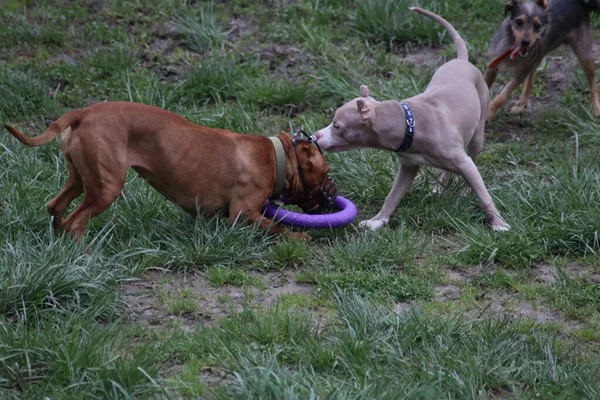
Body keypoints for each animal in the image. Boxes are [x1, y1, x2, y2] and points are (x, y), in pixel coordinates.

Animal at [2, 101, 336, 242]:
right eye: (324, 174)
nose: (334, 193)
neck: (276, 156)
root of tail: (83, 113)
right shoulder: (243, 213)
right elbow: (276, 226)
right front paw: (297, 237)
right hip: (106, 188)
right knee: (76, 222)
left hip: (80, 180)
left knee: (55, 207)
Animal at [314, 7, 510, 231]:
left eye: (337, 126)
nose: (316, 136)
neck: (410, 124)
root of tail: (461, 60)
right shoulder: (408, 166)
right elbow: (392, 196)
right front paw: (377, 221)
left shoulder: (464, 163)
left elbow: (484, 196)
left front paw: (499, 223)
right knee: (450, 170)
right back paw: (440, 186)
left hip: (478, 133)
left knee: (473, 156)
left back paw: (466, 191)